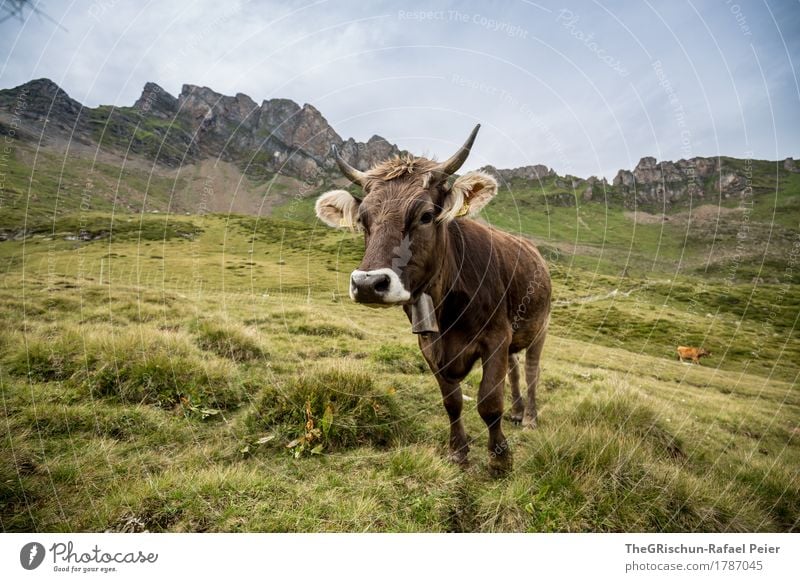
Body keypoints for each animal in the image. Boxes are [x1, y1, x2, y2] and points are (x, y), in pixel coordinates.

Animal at [312, 125, 552, 476]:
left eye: (426, 216)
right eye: (362, 221)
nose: (368, 284)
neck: (447, 307)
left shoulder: (496, 335)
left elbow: (489, 401)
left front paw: (499, 458)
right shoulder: (429, 344)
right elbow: (451, 401)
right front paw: (458, 452)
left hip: (539, 328)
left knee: (532, 371)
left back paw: (531, 418)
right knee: (516, 368)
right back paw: (519, 412)